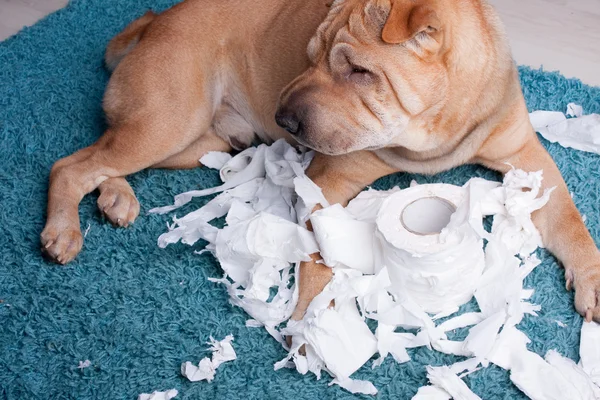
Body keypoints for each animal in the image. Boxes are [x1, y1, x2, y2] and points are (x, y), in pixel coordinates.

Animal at [42, 0, 600, 322]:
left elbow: (569, 220)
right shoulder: (326, 183)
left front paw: (593, 278)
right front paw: (312, 321)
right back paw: (62, 231)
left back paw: (115, 196)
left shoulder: (529, 161)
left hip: (201, 140)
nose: (282, 118)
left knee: (104, 154)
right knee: (72, 164)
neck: (433, 131)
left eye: (358, 71)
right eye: (309, 54)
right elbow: (318, 256)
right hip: (167, 119)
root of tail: (156, 20)